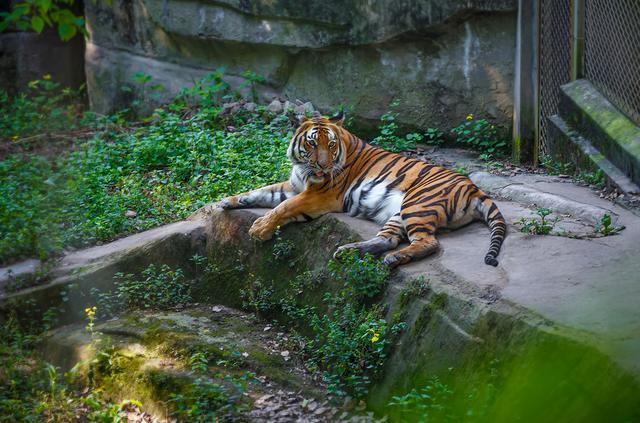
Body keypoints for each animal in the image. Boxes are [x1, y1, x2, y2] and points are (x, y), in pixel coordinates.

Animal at [218, 111, 506, 268]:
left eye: (330, 145)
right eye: (312, 144)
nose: (324, 165)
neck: (304, 168)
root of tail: (474, 188)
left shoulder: (318, 195)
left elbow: (283, 206)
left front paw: (259, 229)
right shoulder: (293, 185)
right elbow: (262, 191)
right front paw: (227, 201)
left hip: (417, 203)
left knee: (428, 242)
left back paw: (392, 258)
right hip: (399, 212)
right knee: (388, 239)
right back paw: (351, 251)